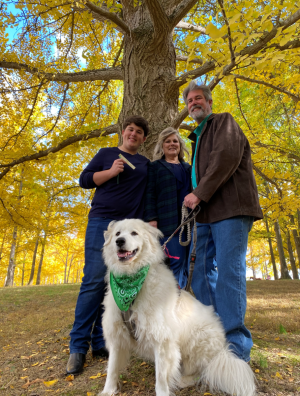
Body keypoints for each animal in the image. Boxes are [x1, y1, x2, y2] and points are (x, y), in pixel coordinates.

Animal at [99, 220, 254, 396]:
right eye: (117, 234)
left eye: (134, 233)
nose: (119, 241)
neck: (131, 285)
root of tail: (220, 352)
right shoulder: (116, 336)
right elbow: (112, 369)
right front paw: (108, 391)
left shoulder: (162, 339)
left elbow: (161, 378)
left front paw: (163, 392)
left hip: (197, 341)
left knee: (201, 372)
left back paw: (183, 380)